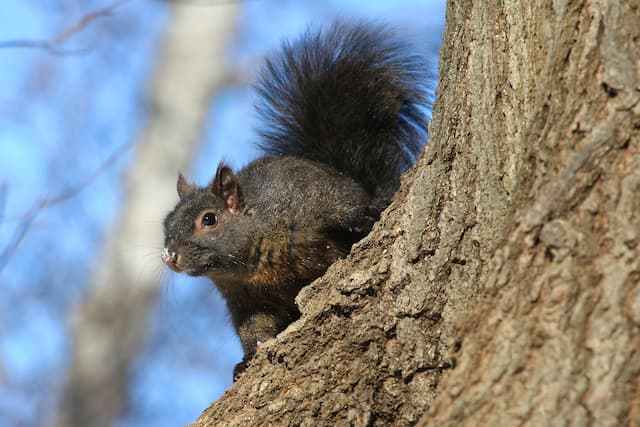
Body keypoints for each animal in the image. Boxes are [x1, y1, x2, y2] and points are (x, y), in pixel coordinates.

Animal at [160, 21, 430, 382]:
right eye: (166, 222)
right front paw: (246, 360)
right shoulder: (245, 299)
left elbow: (344, 212)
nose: (170, 255)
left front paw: (367, 216)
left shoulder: (311, 198)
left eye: (209, 219)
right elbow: (253, 328)